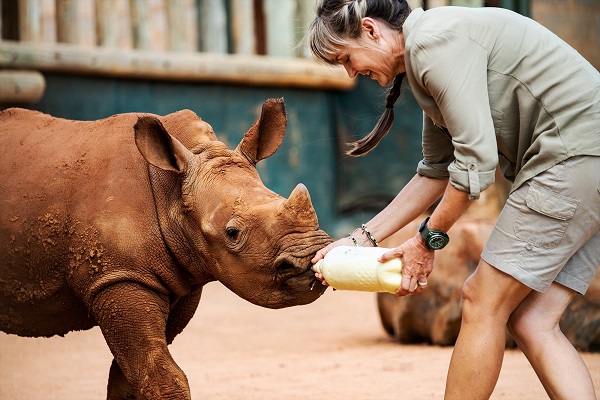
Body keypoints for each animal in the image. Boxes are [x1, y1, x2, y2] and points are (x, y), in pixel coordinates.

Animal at [0, 98, 332, 398]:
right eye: (232, 233)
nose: (310, 257)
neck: (171, 192)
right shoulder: (119, 278)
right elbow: (161, 377)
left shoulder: (177, 283)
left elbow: (130, 378)